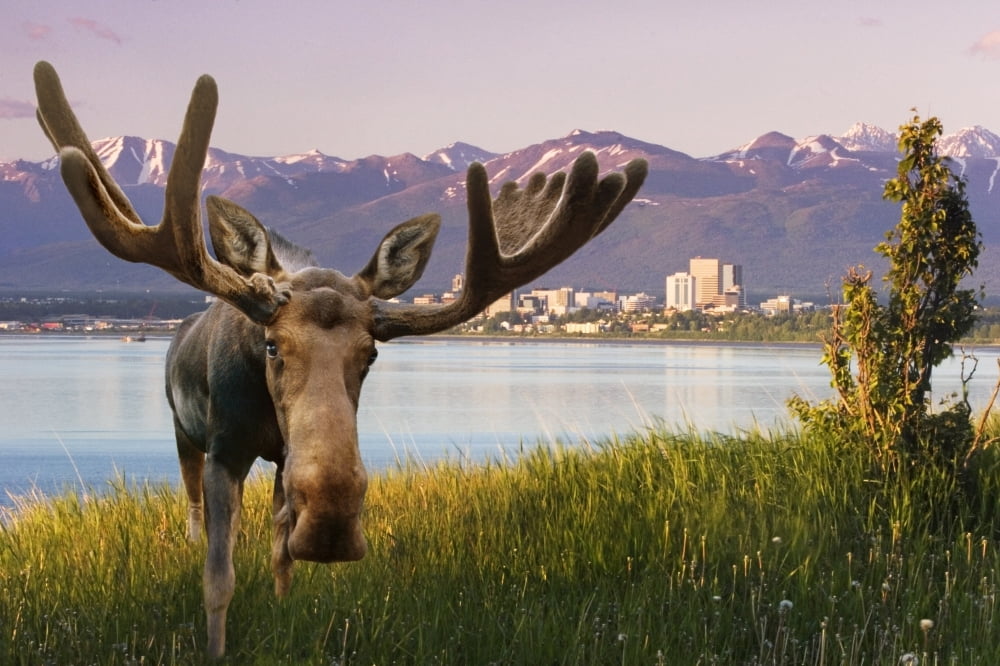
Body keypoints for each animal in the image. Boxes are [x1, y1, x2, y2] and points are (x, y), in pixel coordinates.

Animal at [33, 60, 647, 658]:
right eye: (272, 344)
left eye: (371, 352)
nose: (331, 524)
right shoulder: (224, 448)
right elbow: (218, 577)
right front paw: (215, 647)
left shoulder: (285, 459)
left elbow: (280, 557)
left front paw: (282, 606)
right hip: (181, 430)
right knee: (190, 507)